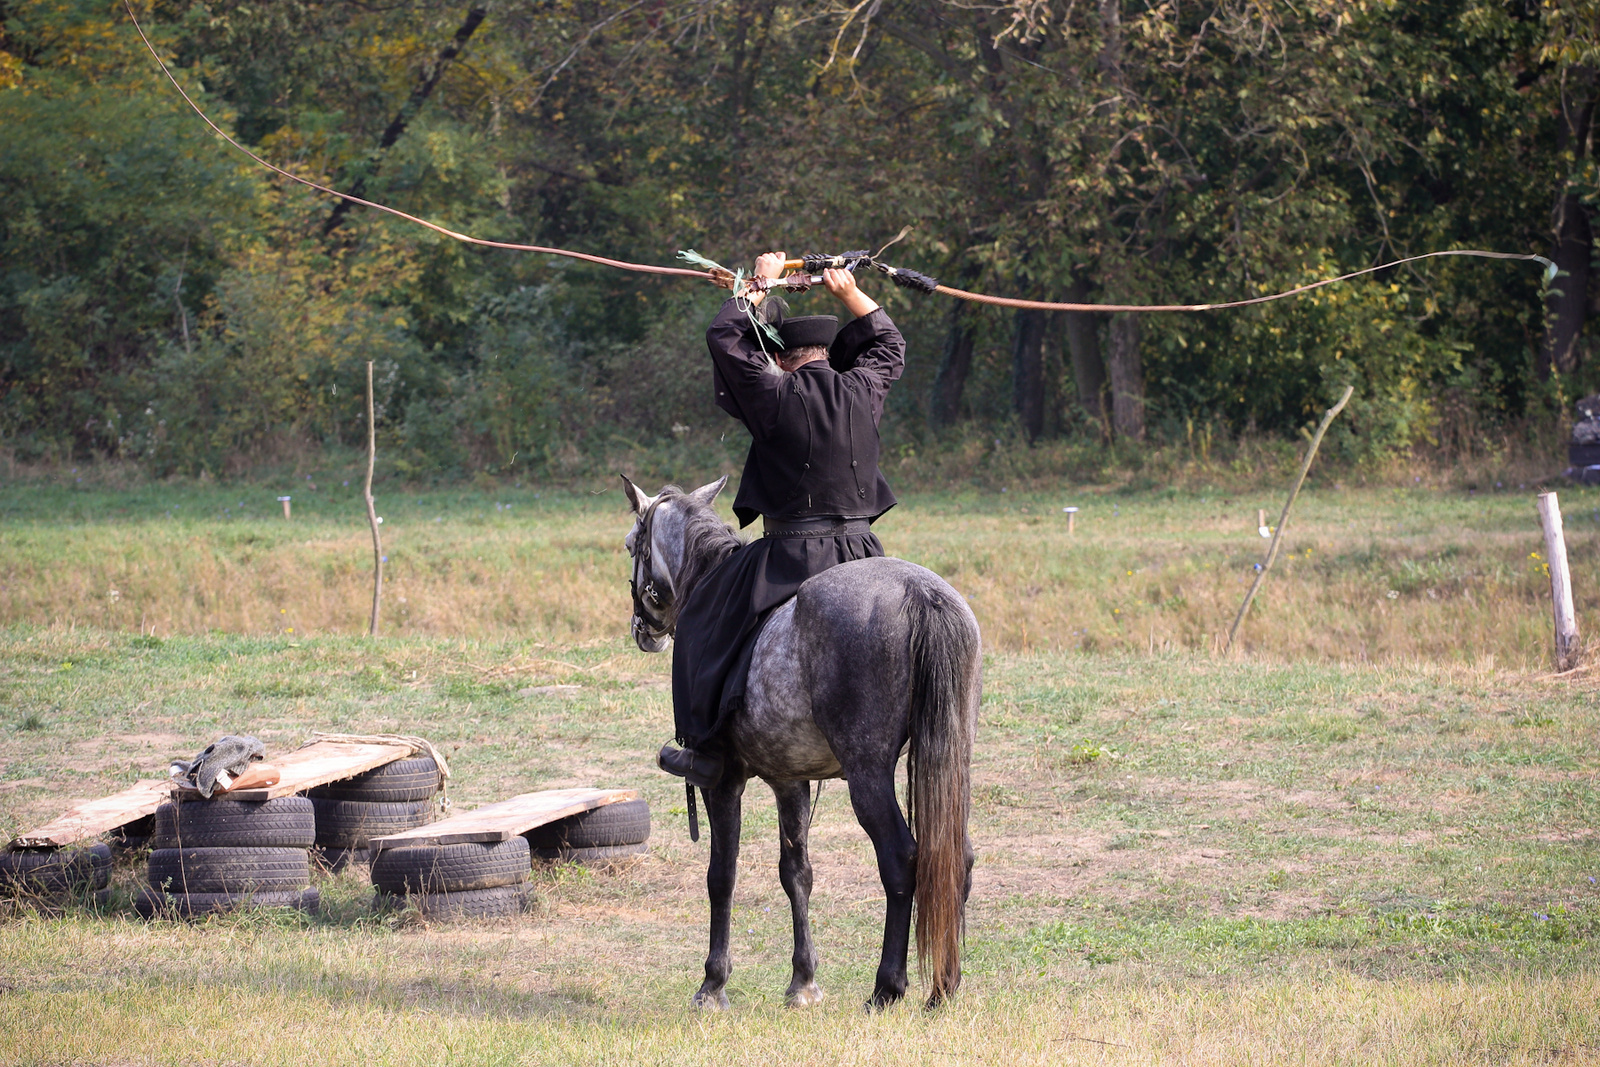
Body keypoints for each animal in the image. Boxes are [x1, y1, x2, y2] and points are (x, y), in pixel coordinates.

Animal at [617, 479, 979, 1017]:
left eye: (630, 546)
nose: (643, 631)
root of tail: (920, 593)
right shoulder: (790, 780)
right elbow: (797, 873)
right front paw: (803, 982)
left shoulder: (724, 781)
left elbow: (721, 876)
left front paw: (713, 985)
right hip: (951, 762)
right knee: (958, 859)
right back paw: (944, 986)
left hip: (867, 774)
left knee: (901, 859)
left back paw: (887, 988)